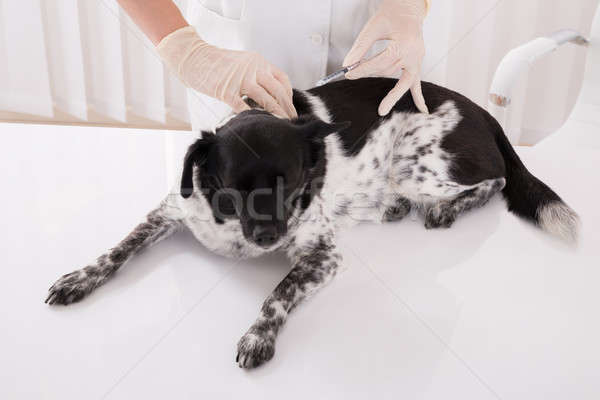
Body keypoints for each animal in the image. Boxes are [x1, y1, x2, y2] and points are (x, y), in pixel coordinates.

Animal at [44, 77, 580, 368]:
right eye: (234, 187)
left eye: (294, 182)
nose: (268, 237)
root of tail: (485, 113)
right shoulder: (170, 212)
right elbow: (118, 249)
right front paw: (79, 278)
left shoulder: (322, 255)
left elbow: (278, 293)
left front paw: (258, 336)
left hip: (415, 164)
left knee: (495, 181)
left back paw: (443, 208)